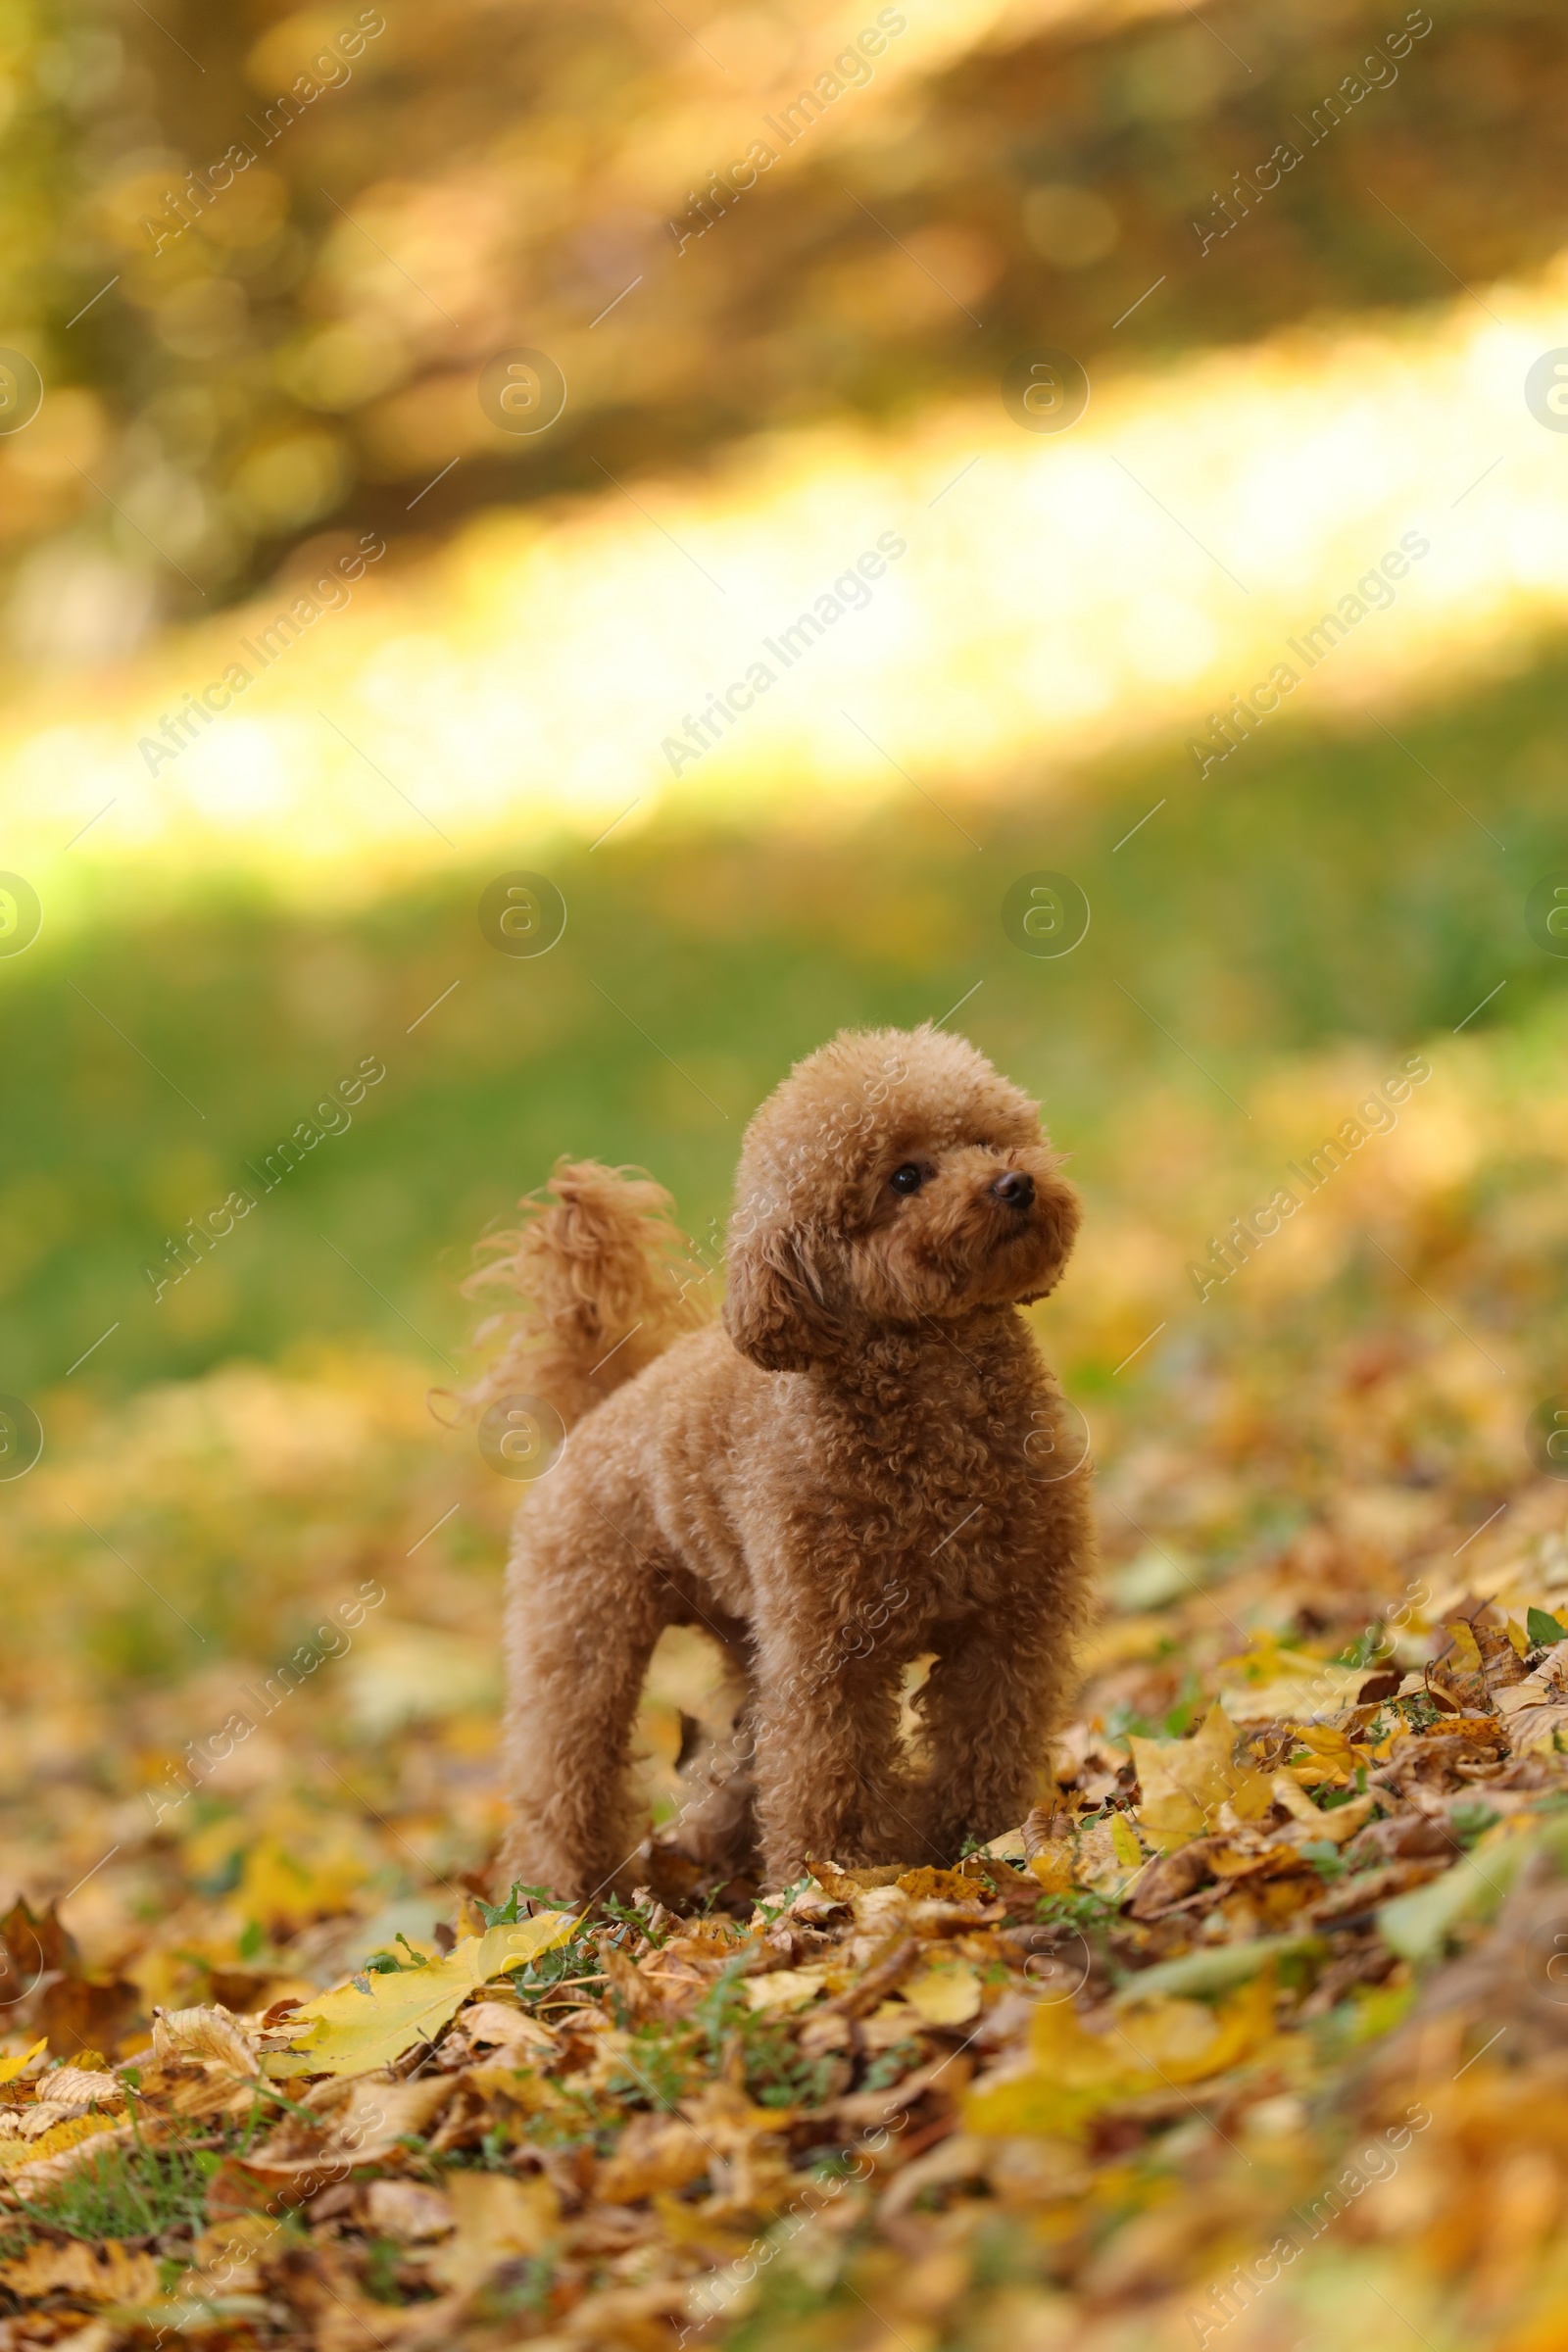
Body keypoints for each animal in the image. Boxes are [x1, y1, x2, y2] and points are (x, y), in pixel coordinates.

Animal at [472, 1020, 1100, 1900]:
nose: (1014, 1184)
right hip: (580, 1634)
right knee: (564, 1771)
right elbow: (822, 1769)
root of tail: (598, 1405)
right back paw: (559, 1901)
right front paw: (828, 1883)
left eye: (986, 1138)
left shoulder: (1011, 1620)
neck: (940, 1407)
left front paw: (984, 1840)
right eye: (905, 1177)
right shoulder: (826, 1650)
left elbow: (989, 1742)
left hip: (743, 1636)